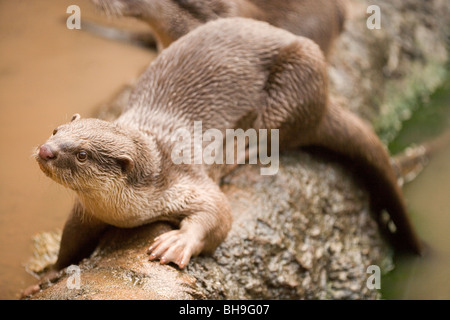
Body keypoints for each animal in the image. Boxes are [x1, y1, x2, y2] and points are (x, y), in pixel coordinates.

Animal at [34, 17, 422, 280]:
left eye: (82, 154)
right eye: (56, 130)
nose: (45, 150)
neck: (126, 211)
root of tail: (325, 96)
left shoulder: (185, 177)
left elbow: (218, 211)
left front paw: (177, 243)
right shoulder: (87, 212)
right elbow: (69, 242)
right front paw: (48, 274)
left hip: (296, 81)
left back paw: (244, 150)